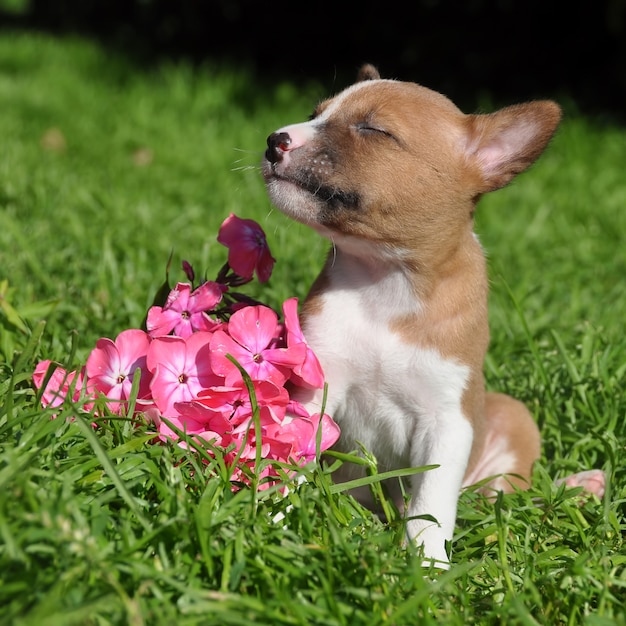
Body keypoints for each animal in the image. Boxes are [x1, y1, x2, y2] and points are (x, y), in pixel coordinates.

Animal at [260, 66, 604, 564]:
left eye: (375, 130)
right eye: (314, 113)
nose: (274, 141)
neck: (384, 284)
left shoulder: (446, 422)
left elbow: (433, 502)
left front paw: (427, 563)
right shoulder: (316, 389)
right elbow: (288, 455)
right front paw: (269, 519)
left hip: (510, 422)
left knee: (505, 497)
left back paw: (580, 486)